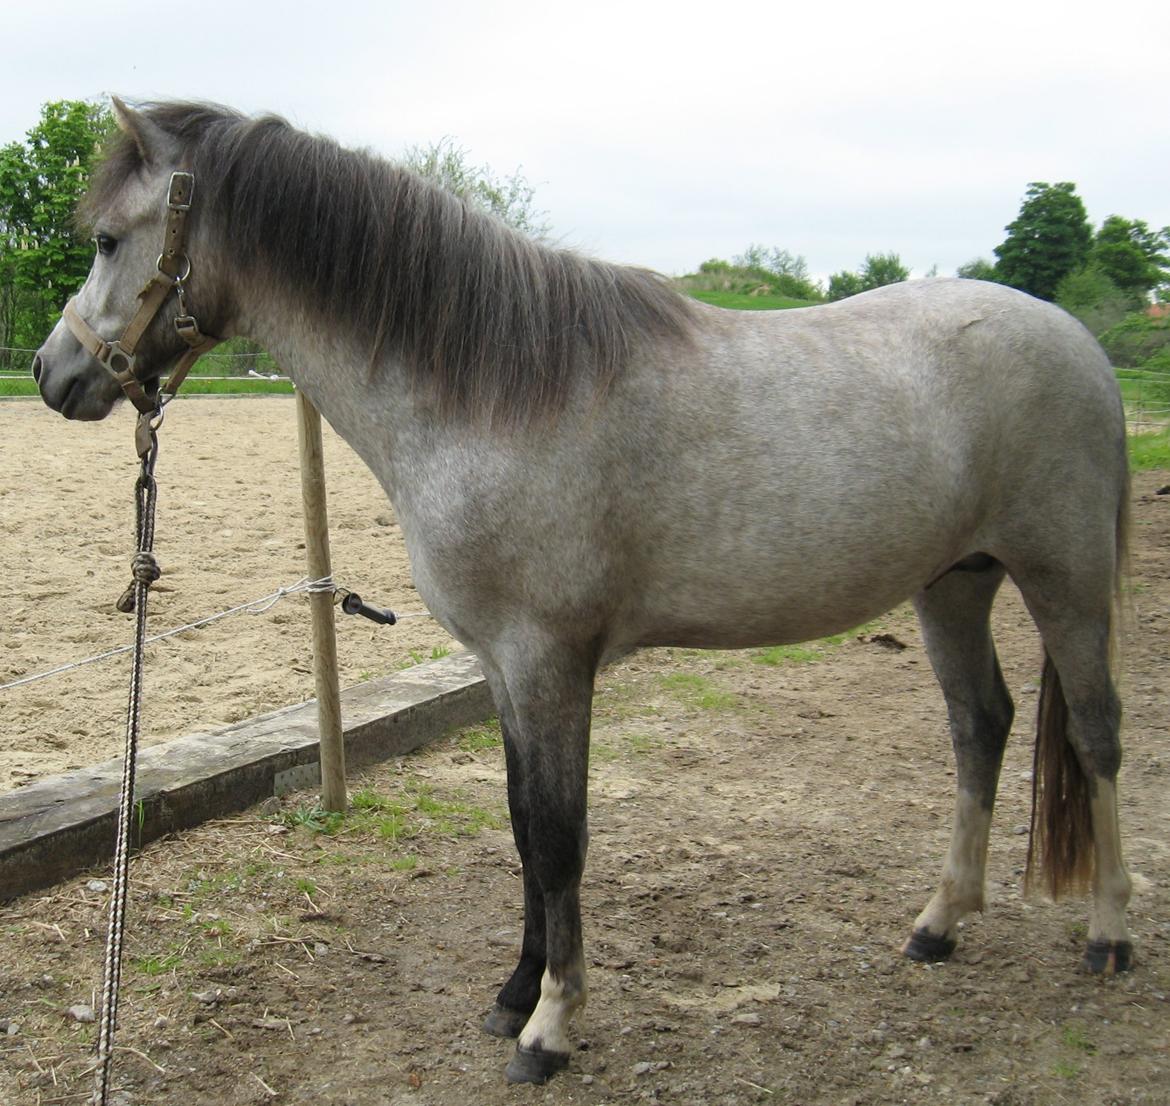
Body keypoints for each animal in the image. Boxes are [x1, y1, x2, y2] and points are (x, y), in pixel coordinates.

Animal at [32, 99, 1134, 1085]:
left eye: (108, 238)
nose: (51, 371)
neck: (491, 393)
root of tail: (1079, 340)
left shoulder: (549, 659)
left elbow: (562, 839)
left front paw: (551, 1028)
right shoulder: (503, 667)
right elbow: (526, 828)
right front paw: (515, 993)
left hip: (1066, 580)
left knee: (1093, 734)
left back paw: (1110, 934)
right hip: (954, 584)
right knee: (979, 726)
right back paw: (939, 924)